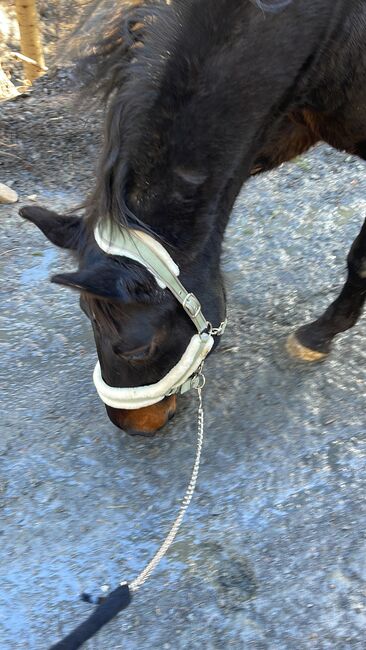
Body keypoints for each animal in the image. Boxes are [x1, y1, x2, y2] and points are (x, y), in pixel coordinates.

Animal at [21, 2, 366, 436]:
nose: (130, 426)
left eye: (138, 350)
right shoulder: (273, 129)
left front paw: (319, 335)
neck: (332, 32)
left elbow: (361, 260)